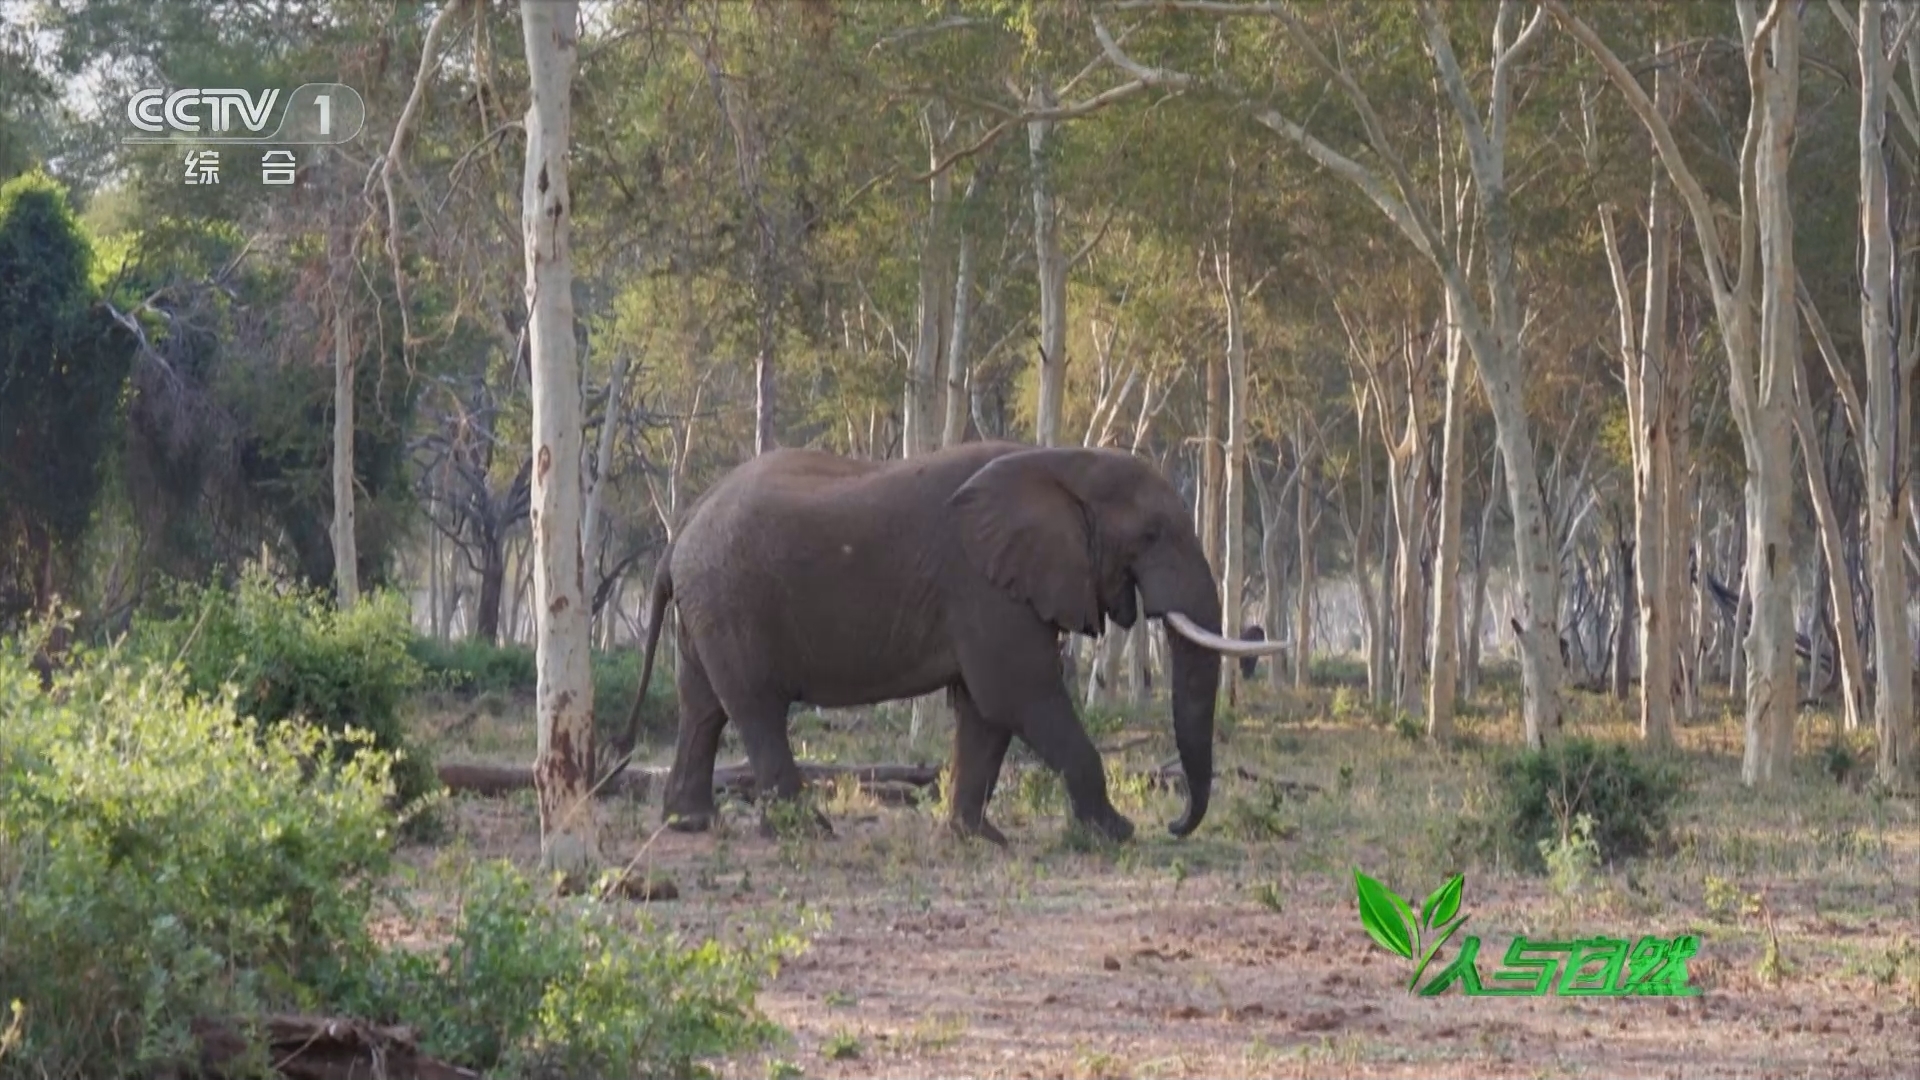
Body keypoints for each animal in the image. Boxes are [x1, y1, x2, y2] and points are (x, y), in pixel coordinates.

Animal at [606, 438, 1282, 841]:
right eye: (1150, 534)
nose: (1174, 825)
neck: (1062, 461)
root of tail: (682, 528)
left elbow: (985, 712)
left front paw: (977, 839)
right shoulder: (982, 585)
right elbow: (1021, 695)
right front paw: (1117, 835)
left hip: (707, 606)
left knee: (703, 707)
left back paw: (690, 823)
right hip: (730, 600)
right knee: (754, 708)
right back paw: (811, 830)